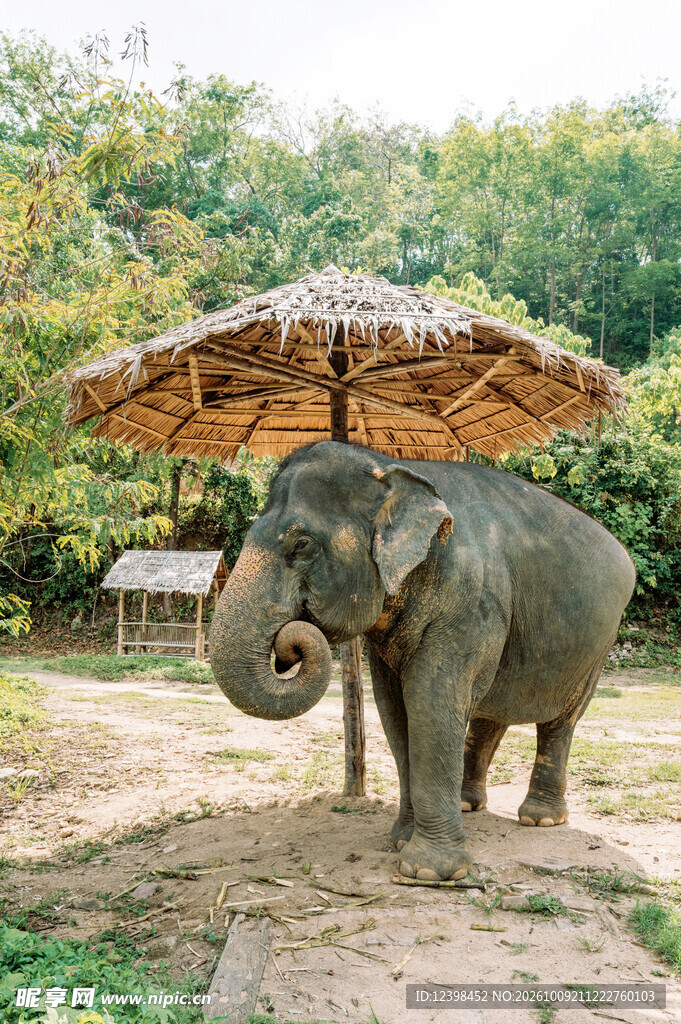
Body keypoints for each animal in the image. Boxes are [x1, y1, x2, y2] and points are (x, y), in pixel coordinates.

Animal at [210, 441, 635, 881]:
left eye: (301, 544)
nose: (288, 645)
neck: (392, 468)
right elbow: (395, 712)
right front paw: (400, 841)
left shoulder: (470, 602)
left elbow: (430, 703)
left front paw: (430, 872)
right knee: (490, 711)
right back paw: (467, 804)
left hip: (598, 648)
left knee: (561, 721)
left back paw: (540, 819)